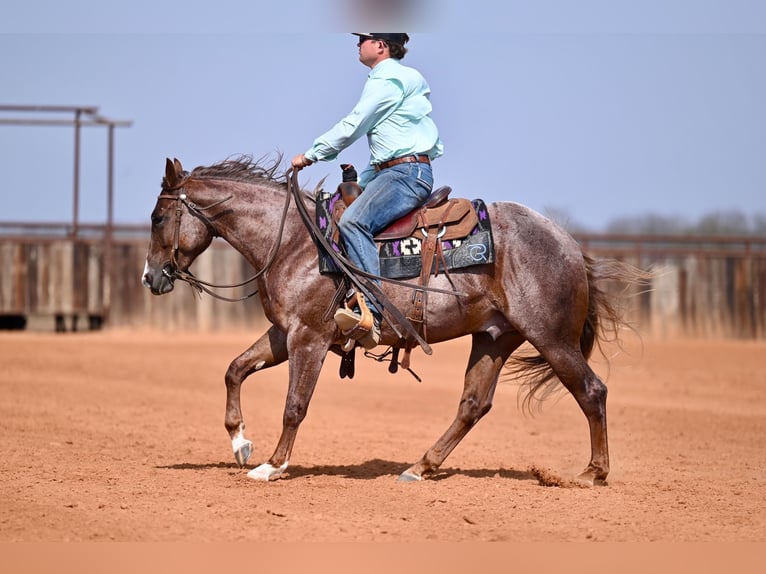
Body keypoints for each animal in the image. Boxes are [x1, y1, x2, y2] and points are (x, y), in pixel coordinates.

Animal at [142, 155, 643, 485]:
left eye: (159, 216)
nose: (151, 277)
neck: (294, 242)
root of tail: (569, 242)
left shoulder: (310, 337)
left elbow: (294, 405)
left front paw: (273, 465)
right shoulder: (285, 333)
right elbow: (235, 370)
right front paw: (240, 443)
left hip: (551, 337)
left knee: (591, 390)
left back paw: (593, 473)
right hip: (494, 338)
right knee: (473, 404)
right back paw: (420, 467)